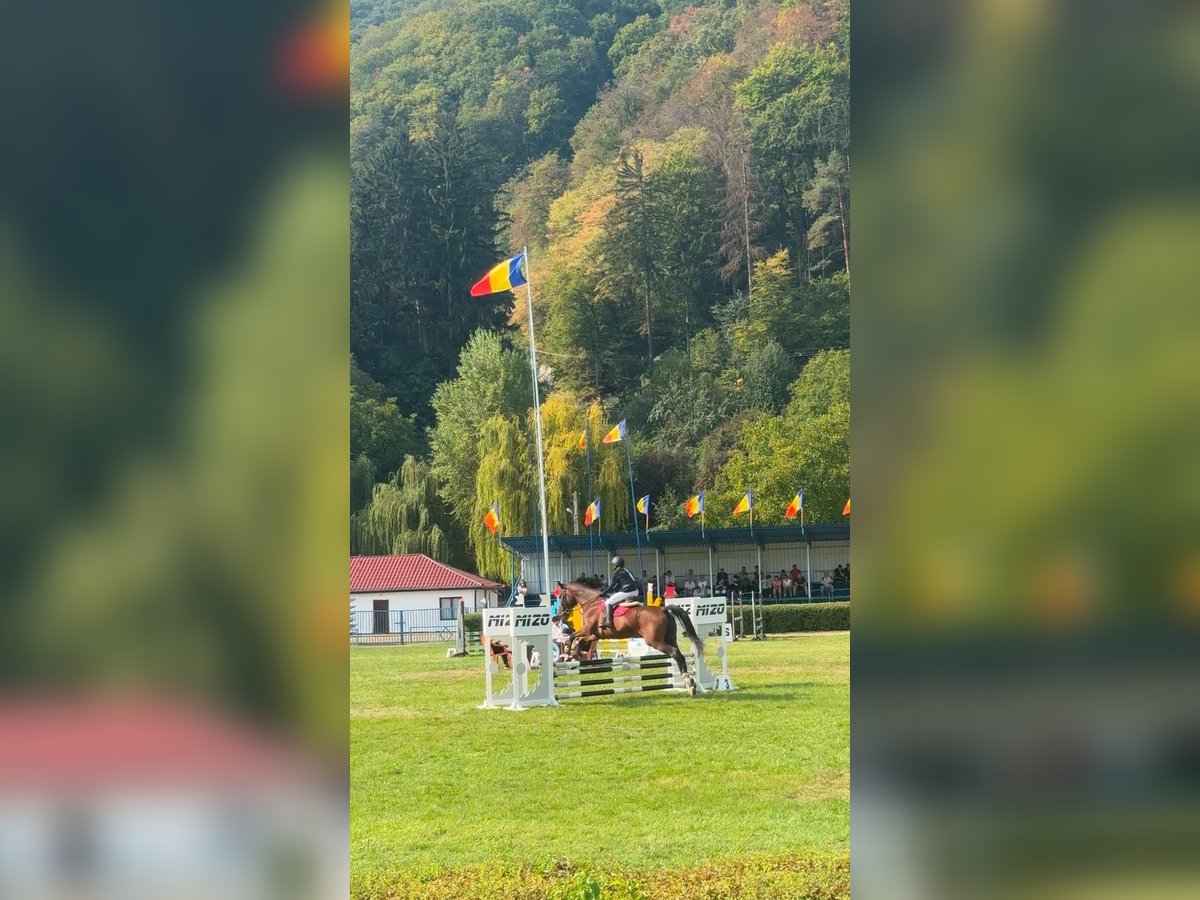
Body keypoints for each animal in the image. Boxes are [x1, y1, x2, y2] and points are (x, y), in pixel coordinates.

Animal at [559, 585, 700, 696]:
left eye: (561, 596)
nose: (560, 614)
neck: (591, 603)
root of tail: (663, 609)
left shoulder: (587, 630)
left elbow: (572, 637)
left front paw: (566, 656)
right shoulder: (595, 635)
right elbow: (580, 641)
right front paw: (574, 658)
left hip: (654, 642)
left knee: (675, 653)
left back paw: (688, 681)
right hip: (670, 638)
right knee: (679, 654)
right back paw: (691, 684)